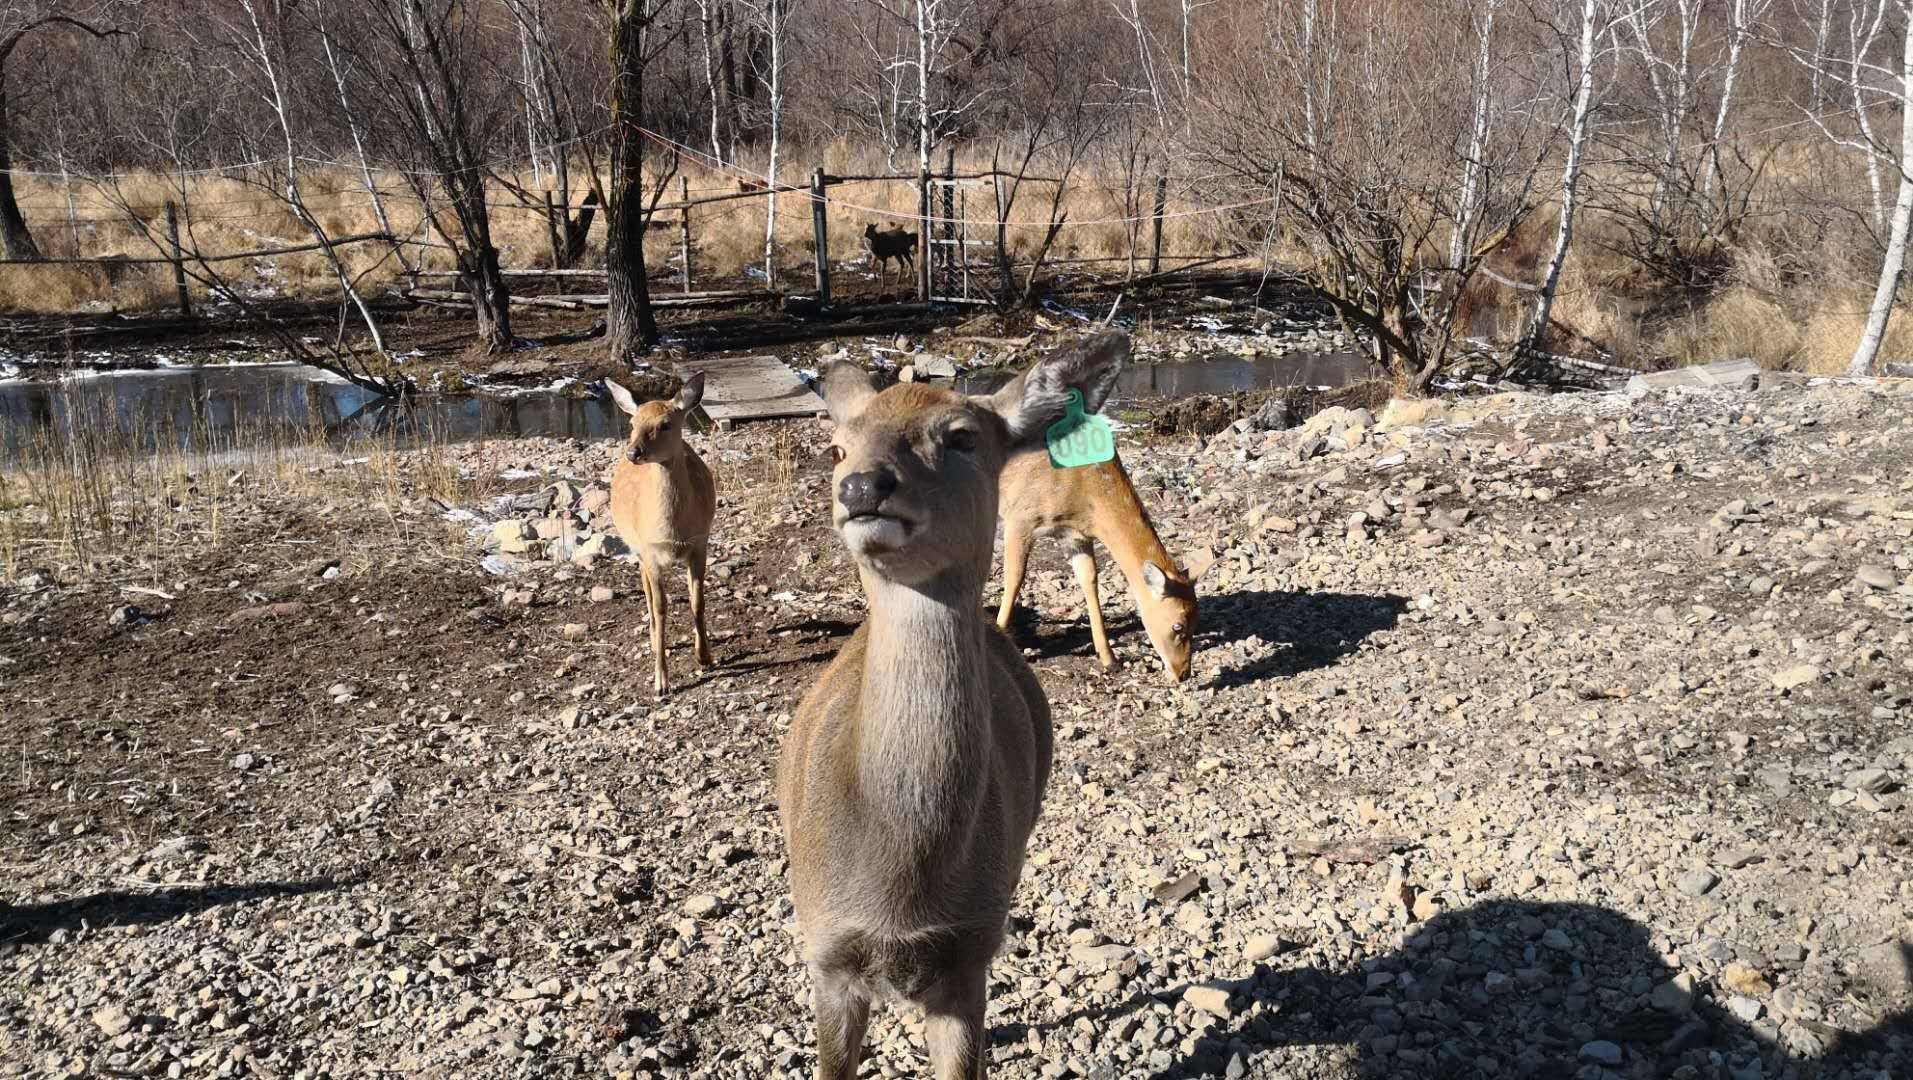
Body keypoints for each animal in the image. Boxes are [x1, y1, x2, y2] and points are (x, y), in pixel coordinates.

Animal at [994, 447, 1201, 680]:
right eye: (1177, 626)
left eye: (1197, 621)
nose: (1183, 673)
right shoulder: (1020, 517)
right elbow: (1015, 576)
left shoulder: (1075, 537)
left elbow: (1090, 580)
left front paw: (1110, 659)